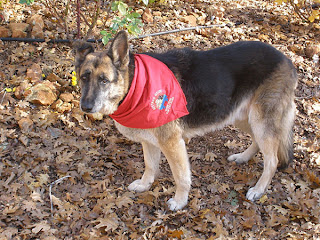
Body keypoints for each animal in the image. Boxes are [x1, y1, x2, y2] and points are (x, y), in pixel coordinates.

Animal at [74, 30, 298, 210]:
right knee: (258, 143)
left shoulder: (173, 144)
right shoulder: (149, 142)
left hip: (259, 121)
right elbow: (150, 166)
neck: (135, 85)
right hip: (243, 117)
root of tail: (287, 60)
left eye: (103, 80)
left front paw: (180, 201)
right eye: (84, 77)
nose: (86, 107)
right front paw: (145, 185)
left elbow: (181, 177)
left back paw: (259, 189)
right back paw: (243, 157)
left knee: (272, 160)